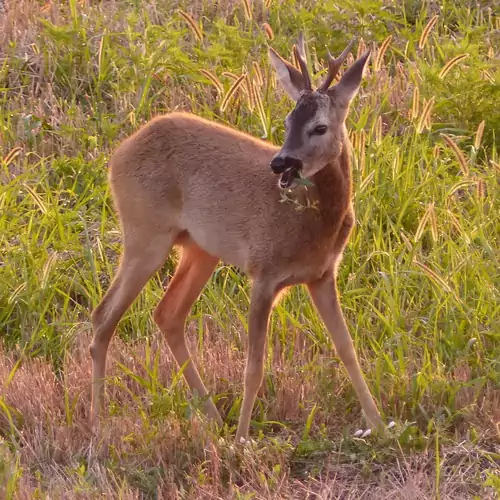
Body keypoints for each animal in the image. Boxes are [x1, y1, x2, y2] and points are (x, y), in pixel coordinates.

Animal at [90, 31, 384, 442]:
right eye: (288, 119)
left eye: (320, 127)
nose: (280, 162)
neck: (312, 224)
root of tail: (116, 155)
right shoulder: (263, 272)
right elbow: (254, 368)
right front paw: (244, 439)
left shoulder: (323, 275)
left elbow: (347, 349)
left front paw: (380, 426)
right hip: (145, 234)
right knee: (104, 316)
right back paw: (99, 423)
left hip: (199, 249)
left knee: (167, 314)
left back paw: (213, 417)